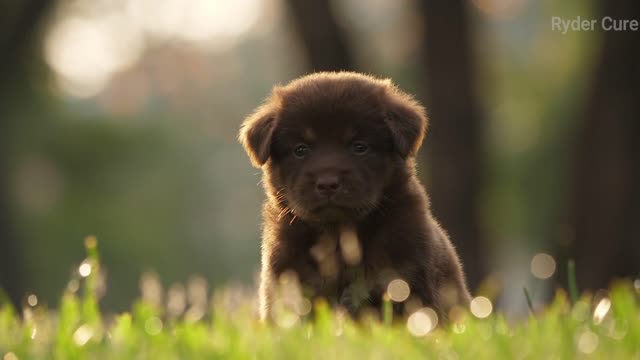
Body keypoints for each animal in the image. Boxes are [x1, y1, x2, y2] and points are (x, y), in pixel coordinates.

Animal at [240, 71, 470, 322]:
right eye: (300, 149)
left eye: (359, 147)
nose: (328, 183)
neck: (339, 235)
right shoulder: (287, 280)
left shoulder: (407, 277)